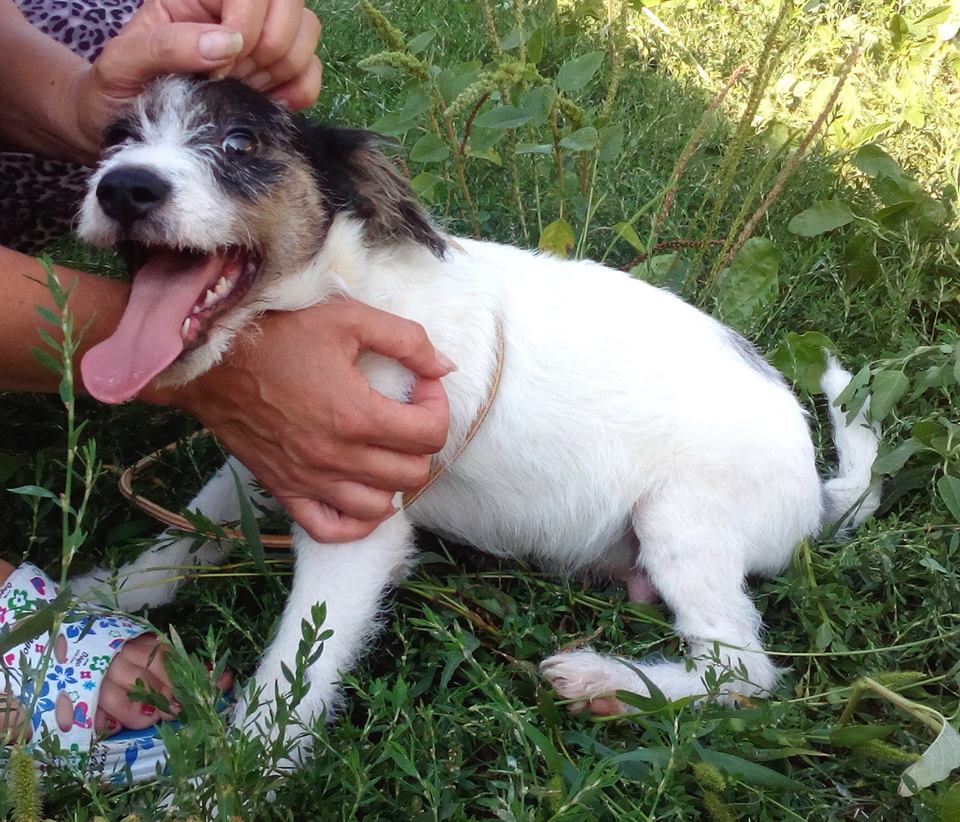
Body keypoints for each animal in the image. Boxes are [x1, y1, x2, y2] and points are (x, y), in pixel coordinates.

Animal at [73, 76, 881, 762]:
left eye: (239, 143)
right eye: (118, 135)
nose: (123, 188)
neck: (343, 287)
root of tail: (814, 493)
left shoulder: (358, 528)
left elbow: (290, 682)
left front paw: (229, 779)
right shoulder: (275, 448)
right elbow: (191, 527)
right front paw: (106, 594)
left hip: (683, 519)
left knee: (740, 666)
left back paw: (607, 683)